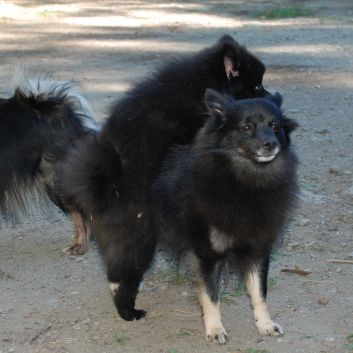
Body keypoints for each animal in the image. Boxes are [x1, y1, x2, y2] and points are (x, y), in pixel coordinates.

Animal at [59, 35, 282, 322]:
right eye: (256, 86)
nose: (276, 99)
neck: (196, 88)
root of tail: (100, 189)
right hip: (140, 239)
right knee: (127, 274)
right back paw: (129, 311)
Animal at [150, 88, 298, 344]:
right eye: (246, 127)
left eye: (275, 126)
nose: (271, 143)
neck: (245, 182)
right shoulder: (207, 254)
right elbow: (211, 296)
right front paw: (215, 328)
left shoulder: (258, 250)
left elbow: (259, 293)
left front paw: (264, 324)